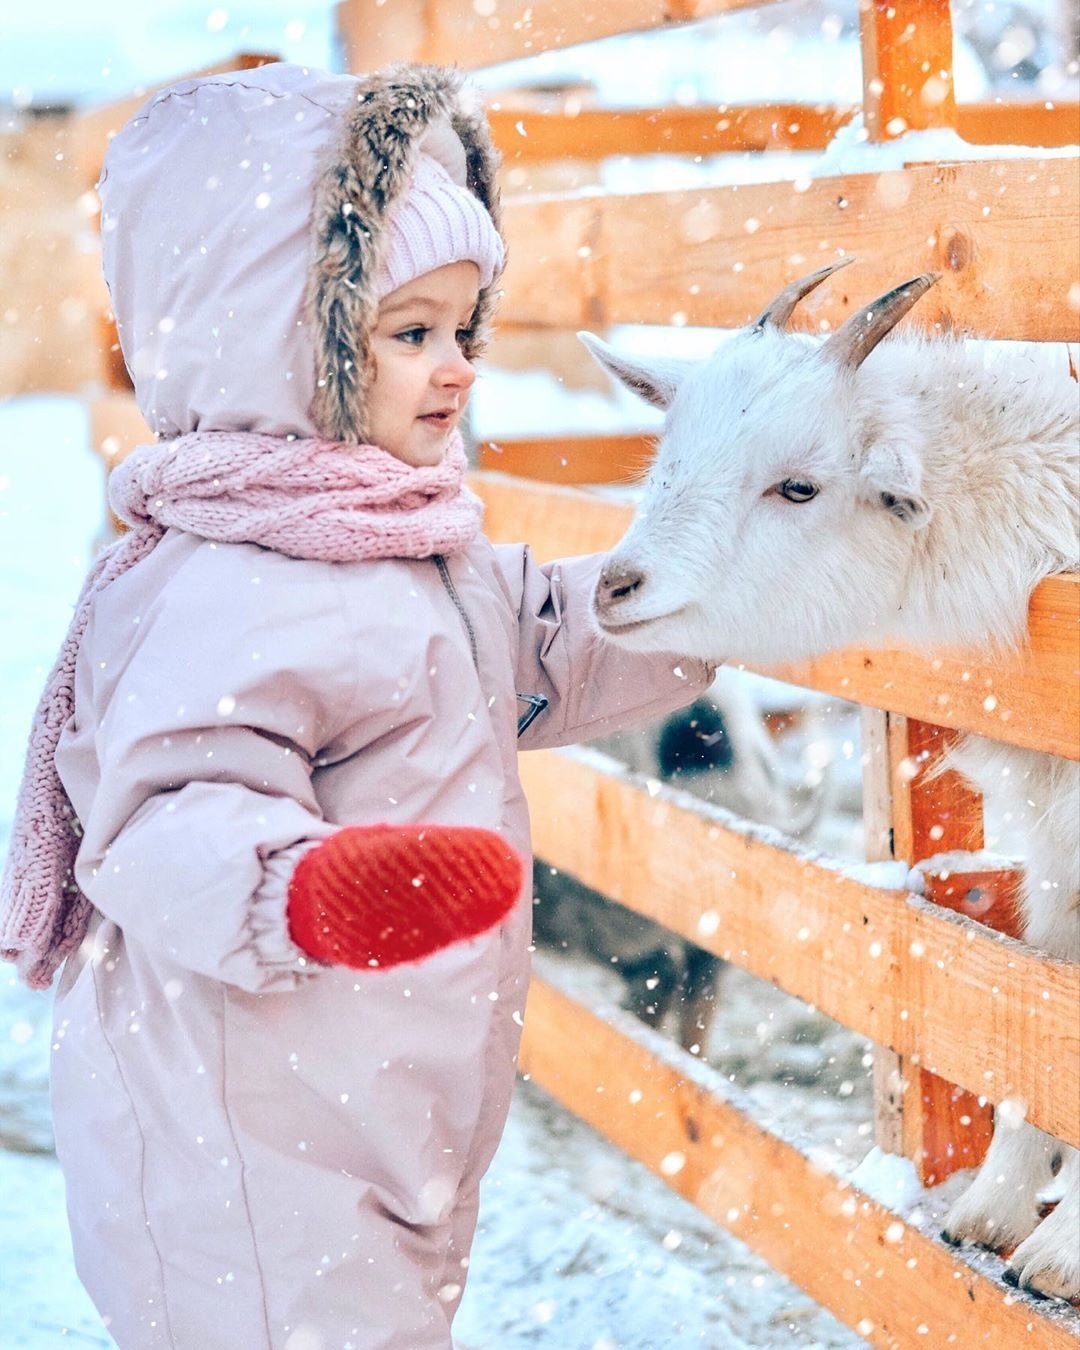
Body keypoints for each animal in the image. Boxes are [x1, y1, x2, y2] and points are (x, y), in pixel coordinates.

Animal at [577, 257, 1080, 1301]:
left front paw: (1063, 1255)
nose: (615, 587)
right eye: (666, 456)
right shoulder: (1057, 844)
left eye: (798, 487)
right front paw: (993, 1211)